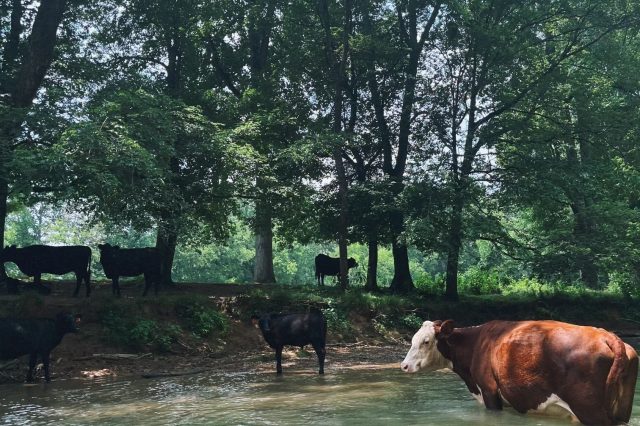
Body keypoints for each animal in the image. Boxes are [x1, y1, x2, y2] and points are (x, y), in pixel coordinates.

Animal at [402, 320, 636, 426]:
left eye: (426, 341)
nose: (403, 366)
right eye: (412, 339)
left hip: (590, 411)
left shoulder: (489, 391)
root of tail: (606, 335)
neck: (476, 344)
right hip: (620, 410)